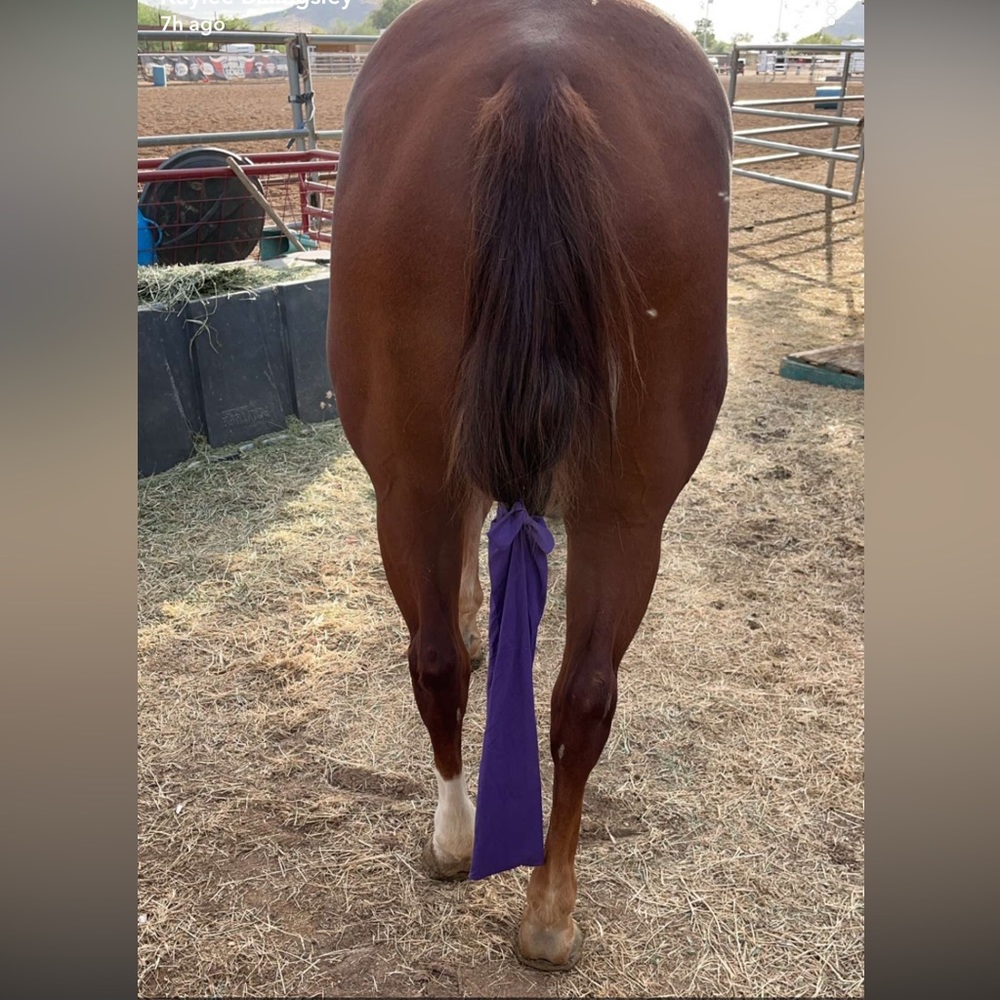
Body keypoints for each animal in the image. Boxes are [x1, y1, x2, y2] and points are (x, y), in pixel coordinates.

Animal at [327, 0, 732, 971]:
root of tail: (539, 72)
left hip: (417, 487)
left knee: (440, 660)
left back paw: (461, 844)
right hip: (624, 512)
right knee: (579, 695)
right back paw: (548, 908)